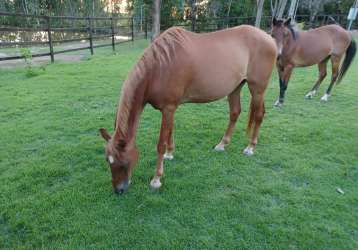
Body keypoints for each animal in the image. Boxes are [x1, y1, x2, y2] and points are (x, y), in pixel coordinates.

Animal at [98, 25, 276, 193]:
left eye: (122, 161)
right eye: (108, 160)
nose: (119, 190)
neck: (159, 67)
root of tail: (269, 38)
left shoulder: (168, 108)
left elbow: (161, 143)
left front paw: (156, 179)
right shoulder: (170, 110)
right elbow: (170, 133)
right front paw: (170, 154)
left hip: (257, 89)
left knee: (259, 115)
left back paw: (250, 147)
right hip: (235, 88)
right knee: (235, 112)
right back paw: (222, 144)